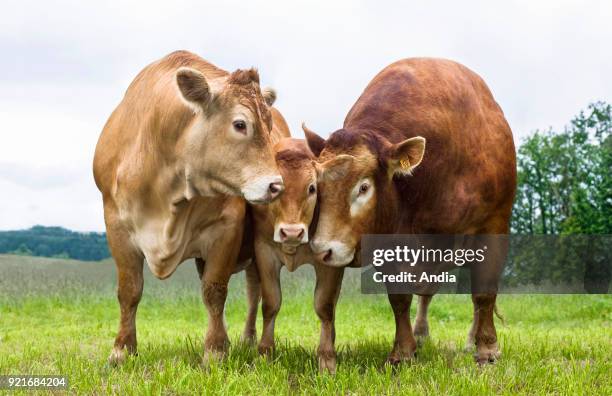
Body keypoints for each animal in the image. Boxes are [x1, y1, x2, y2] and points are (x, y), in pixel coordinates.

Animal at [93, 50, 284, 366]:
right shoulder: (116, 225)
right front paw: (122, 349)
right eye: (240, 124)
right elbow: (129, 290)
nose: (276, 186)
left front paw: (215, 351)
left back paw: (247, 339)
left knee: (254, 290)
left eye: (269, 127)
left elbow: (214, 290)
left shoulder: (227, 228)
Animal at [306, 58, 516, 366]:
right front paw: (403, 351)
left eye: (364, 187)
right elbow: (400, 298)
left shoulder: (493, 227)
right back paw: (421, 333)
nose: (323, 250)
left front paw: (487, 348)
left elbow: (484, 294)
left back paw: (471, 339)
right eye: (316, 187)